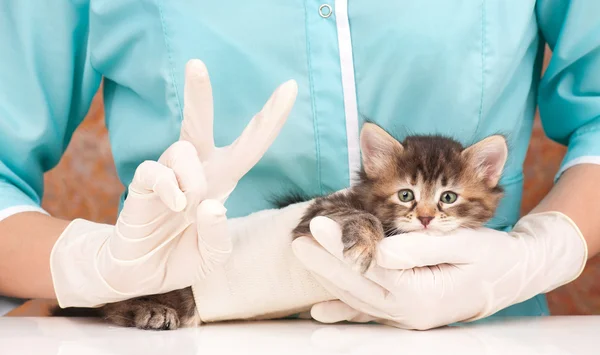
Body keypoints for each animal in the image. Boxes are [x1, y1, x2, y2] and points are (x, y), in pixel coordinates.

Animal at [51, 122, 506, 330]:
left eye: (448, 197)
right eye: (407, 195)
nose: (426, 218)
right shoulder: (315, 216)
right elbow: (357, 217)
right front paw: (364, 241)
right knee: (108, 302)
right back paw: (150, 310)